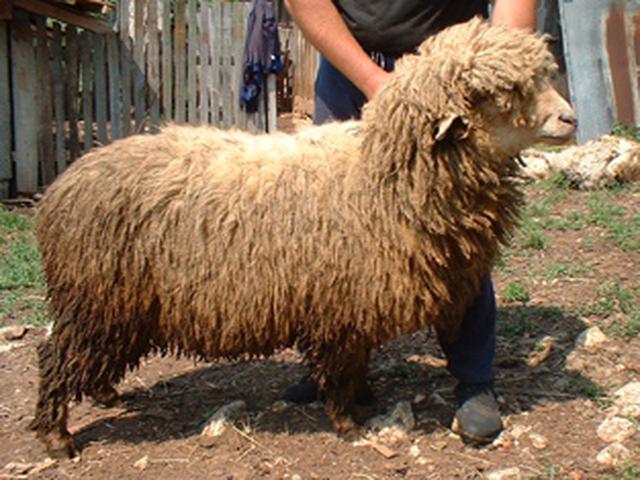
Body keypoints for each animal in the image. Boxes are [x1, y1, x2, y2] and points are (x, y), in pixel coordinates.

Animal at [31, 17, 576, 458]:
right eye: (501, 94)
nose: (569, 118)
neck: (381, 177)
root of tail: (63, 185)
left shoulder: (351, 304)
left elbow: (356, 361)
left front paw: (362, 400)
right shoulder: (339, 308)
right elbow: (341, 368)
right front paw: (348, 422)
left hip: (119, 305)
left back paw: (104, 394)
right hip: (95, 299)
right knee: (55, 358)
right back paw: (58, 436)